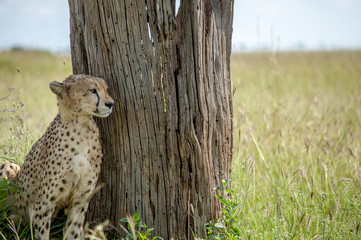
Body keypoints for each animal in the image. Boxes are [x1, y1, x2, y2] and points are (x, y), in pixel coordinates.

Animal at [0, 74, 114, 239]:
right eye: (92, 90)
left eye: (106, 89)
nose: (111, 103)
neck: (81, 127)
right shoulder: (44, 203)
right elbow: (42, 234)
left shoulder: (79, 201)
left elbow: (73, 232)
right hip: (9, 167)